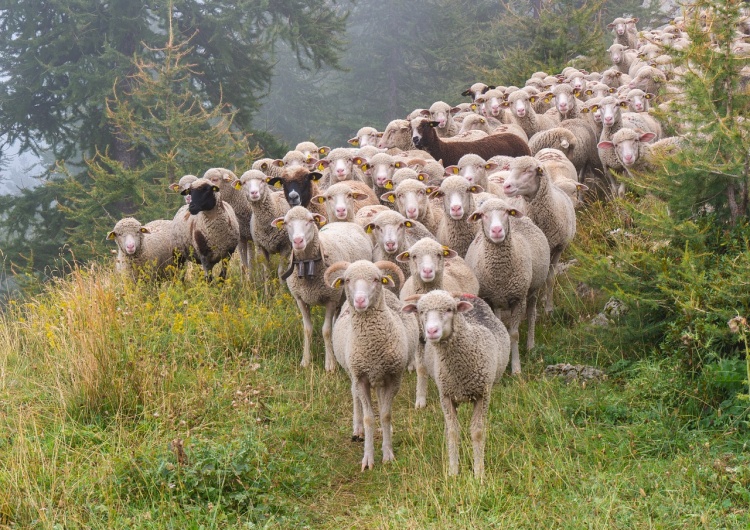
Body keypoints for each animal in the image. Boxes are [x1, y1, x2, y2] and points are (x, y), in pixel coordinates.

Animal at [274, 204, 374, 370]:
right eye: (287, 223)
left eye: (310, 220)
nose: (298, 241)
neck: (308, 263)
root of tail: (343, 222)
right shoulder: (300, 299)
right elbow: (307, 329)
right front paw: (305, 361)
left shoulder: (330, 298)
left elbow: (326, 331)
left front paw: (330, 363)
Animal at [326, 258, 420, 468]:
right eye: (347, 280)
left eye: (376, 279)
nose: (360, 301)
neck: (372, 347)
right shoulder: (360, 378)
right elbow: (369, 417)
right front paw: (368, 458)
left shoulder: (393, 377)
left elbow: (385, 414)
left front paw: (388, 453)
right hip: (354, 373)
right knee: (355, 396)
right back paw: (357, 430)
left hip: (379, 377)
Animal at [402, 290, 516, 476]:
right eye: (421, 311)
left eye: (450, 309)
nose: (431, 331)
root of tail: (466, 296)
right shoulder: (446, 396)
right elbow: (453, 432)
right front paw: (453, 471)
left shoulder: (482, 395)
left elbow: (477, 432)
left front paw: (478, 472)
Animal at [506, 157, 580, 314]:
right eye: (511, 169)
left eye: (528, 171)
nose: (506, 186)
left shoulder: (559, 247)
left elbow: (550, 278)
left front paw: (548, 307)